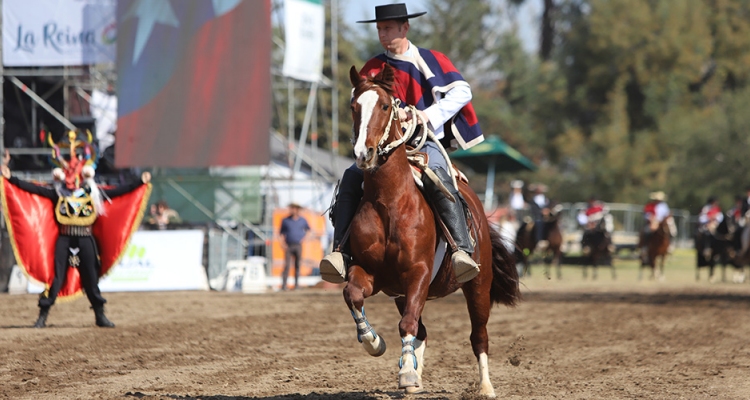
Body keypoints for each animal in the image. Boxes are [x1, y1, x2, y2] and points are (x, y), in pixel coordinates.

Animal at [342, 66, 524, 396]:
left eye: (385, 106)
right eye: (354, 107)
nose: (364, 153)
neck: (389, 203)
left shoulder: (418, 273)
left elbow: (408, 324)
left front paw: (406, 375)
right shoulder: (372, 274)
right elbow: (353, 295)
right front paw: (374, 343)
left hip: (478, 286)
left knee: (478, 335)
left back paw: (485, 387)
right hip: (402, 294)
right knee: (422, 330)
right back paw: (414, 373)